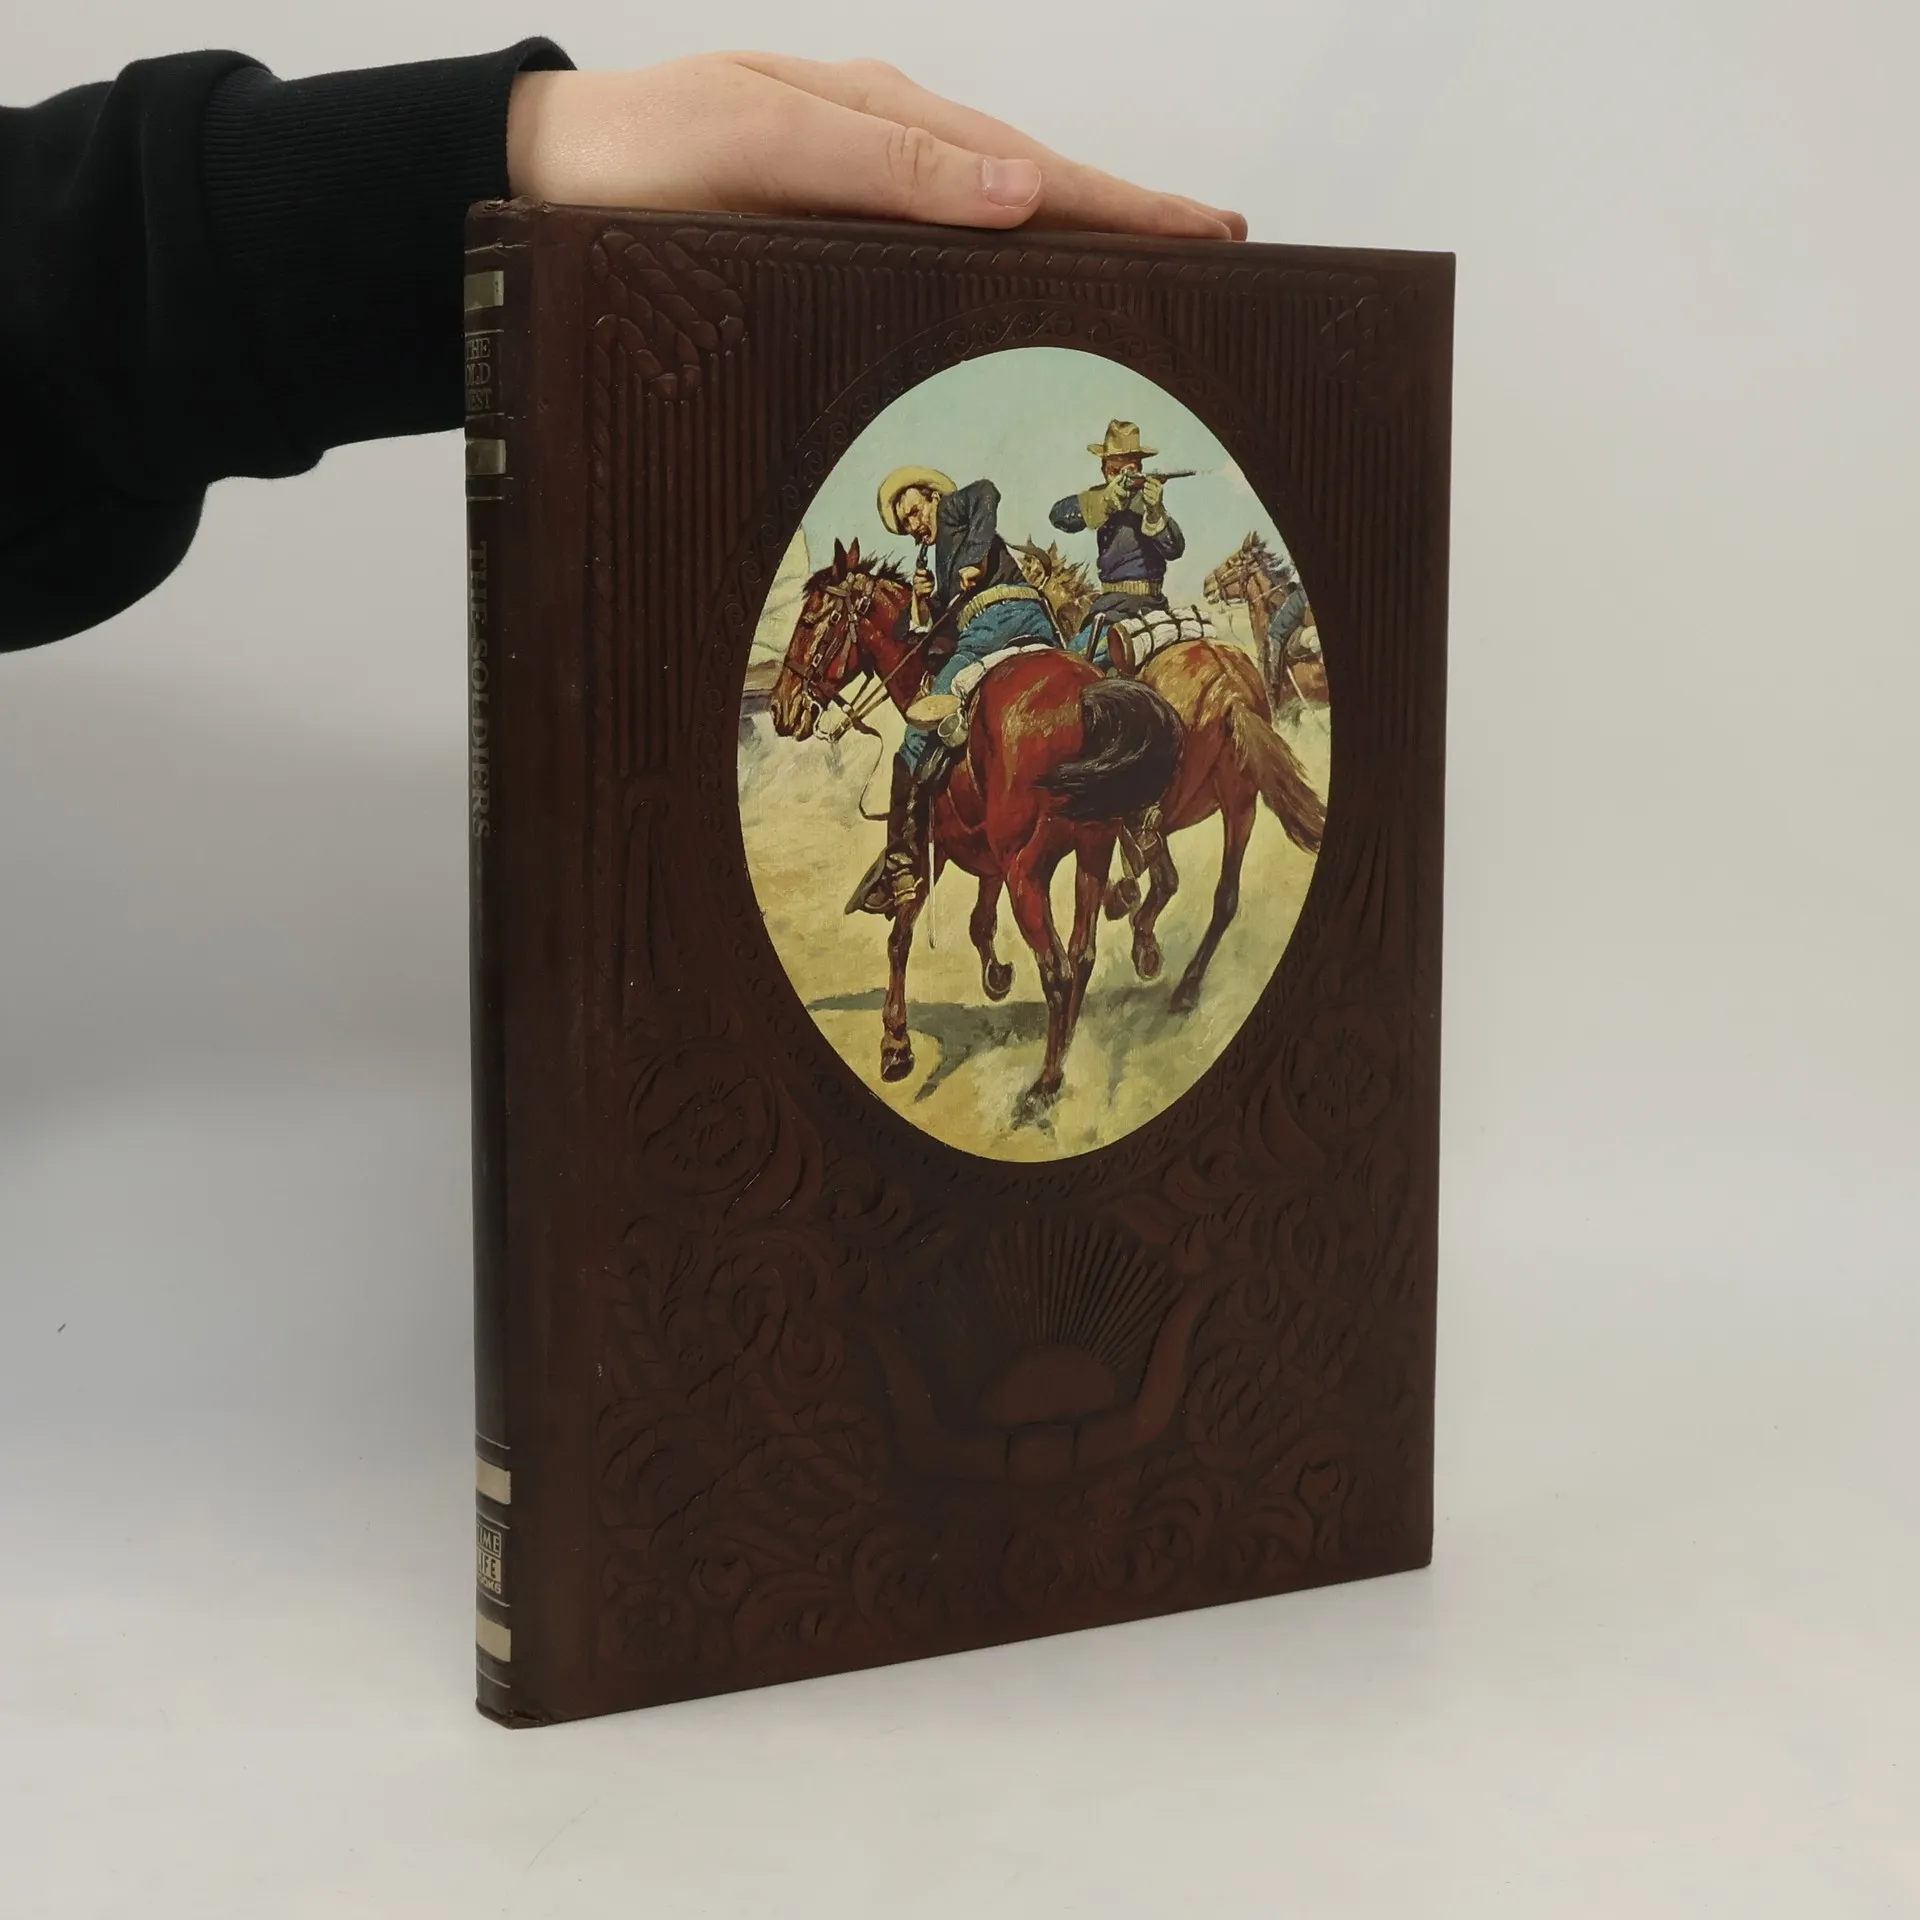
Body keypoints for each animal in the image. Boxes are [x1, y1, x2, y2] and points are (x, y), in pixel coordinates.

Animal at [768, 539, 1184, 1123]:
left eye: (810, 620)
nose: (780, 708)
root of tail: (1088, 699)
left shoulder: (933, 851)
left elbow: (900, 934)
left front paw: (896, 1044)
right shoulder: (985, 851)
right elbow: (979, 921)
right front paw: (995, 974)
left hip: (1029, 871)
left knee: (1057, 968)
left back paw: (1044, 1084)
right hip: (1092, 851)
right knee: (1082, 953)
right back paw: (1066, 1042)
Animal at [1013, 547, 1327, 1014]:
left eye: (1031, 574)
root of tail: (1228, 689)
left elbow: (1149, 871)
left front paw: (1129, 918)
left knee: (1166, 874)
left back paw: (1141, 934)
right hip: (1241, 803)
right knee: (1224, 898)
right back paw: (1187, 984)